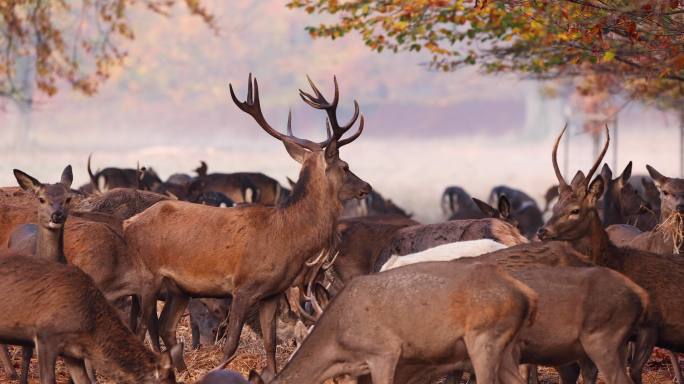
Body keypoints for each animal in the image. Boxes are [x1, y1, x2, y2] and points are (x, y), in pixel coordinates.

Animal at [123, 75, 368, 376]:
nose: (367, 187)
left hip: (178, 288)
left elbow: (270, 342)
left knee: (166, 326)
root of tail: (128, 223)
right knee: (143, 327)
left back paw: (183, 372)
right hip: (147, 278)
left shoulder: (272, 293)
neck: (289, 235)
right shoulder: (242, 287)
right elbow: (231, 343)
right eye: (345, 166)